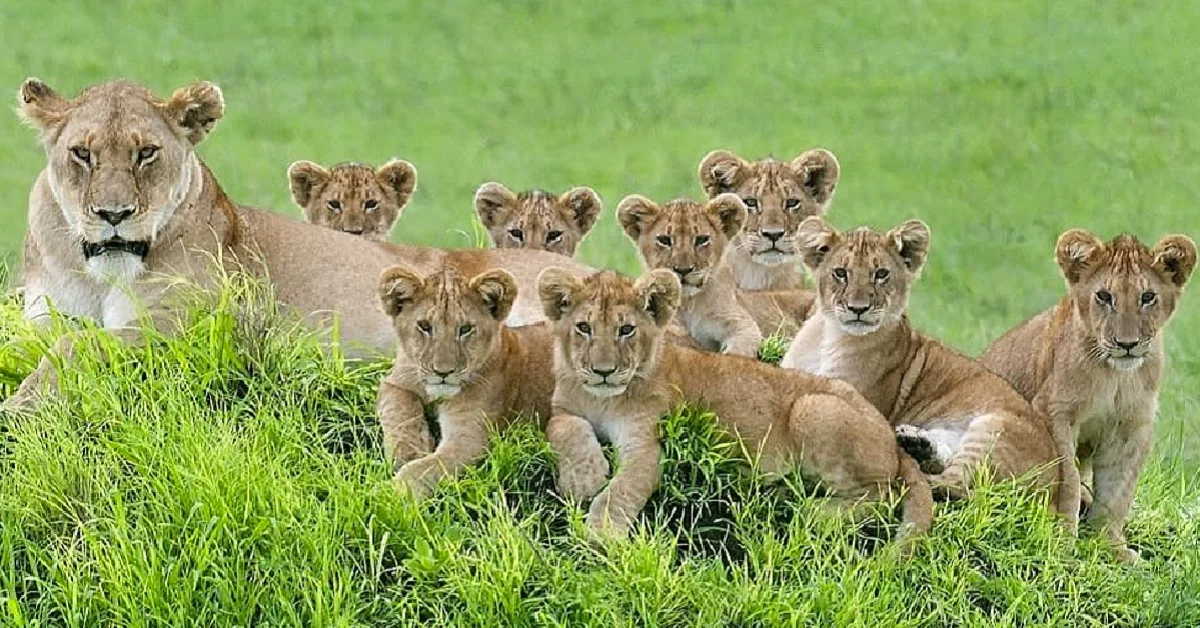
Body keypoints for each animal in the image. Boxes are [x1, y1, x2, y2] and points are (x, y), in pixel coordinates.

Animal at [8, 77, 590, 408]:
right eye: (82, 154)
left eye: (146, 153)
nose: (113, 215)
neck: (100, 273)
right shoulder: (37, 318)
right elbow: (42, 339)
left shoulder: (193, 327)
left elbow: (80, 344)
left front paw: (22, 405)